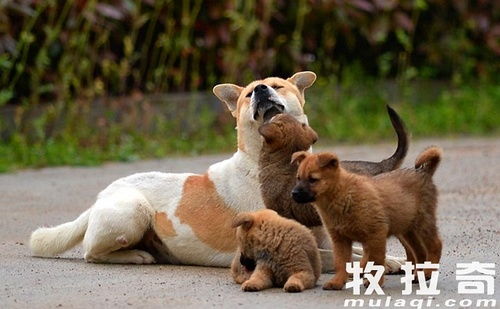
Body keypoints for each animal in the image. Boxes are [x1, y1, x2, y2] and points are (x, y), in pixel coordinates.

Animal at [292, 147, 444, 288]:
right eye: (298, 178)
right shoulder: (340, 240)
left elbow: (376, 261)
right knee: (420, 252)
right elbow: (342, 262)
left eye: (313, 179)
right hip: (408, 229)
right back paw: (418, 276)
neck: (343, 194)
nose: (293, 193)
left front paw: (374, 282)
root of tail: (424, 172)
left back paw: (428, 272)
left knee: (435, 245)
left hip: (423, 223)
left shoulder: (376, 234)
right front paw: (337, 282)